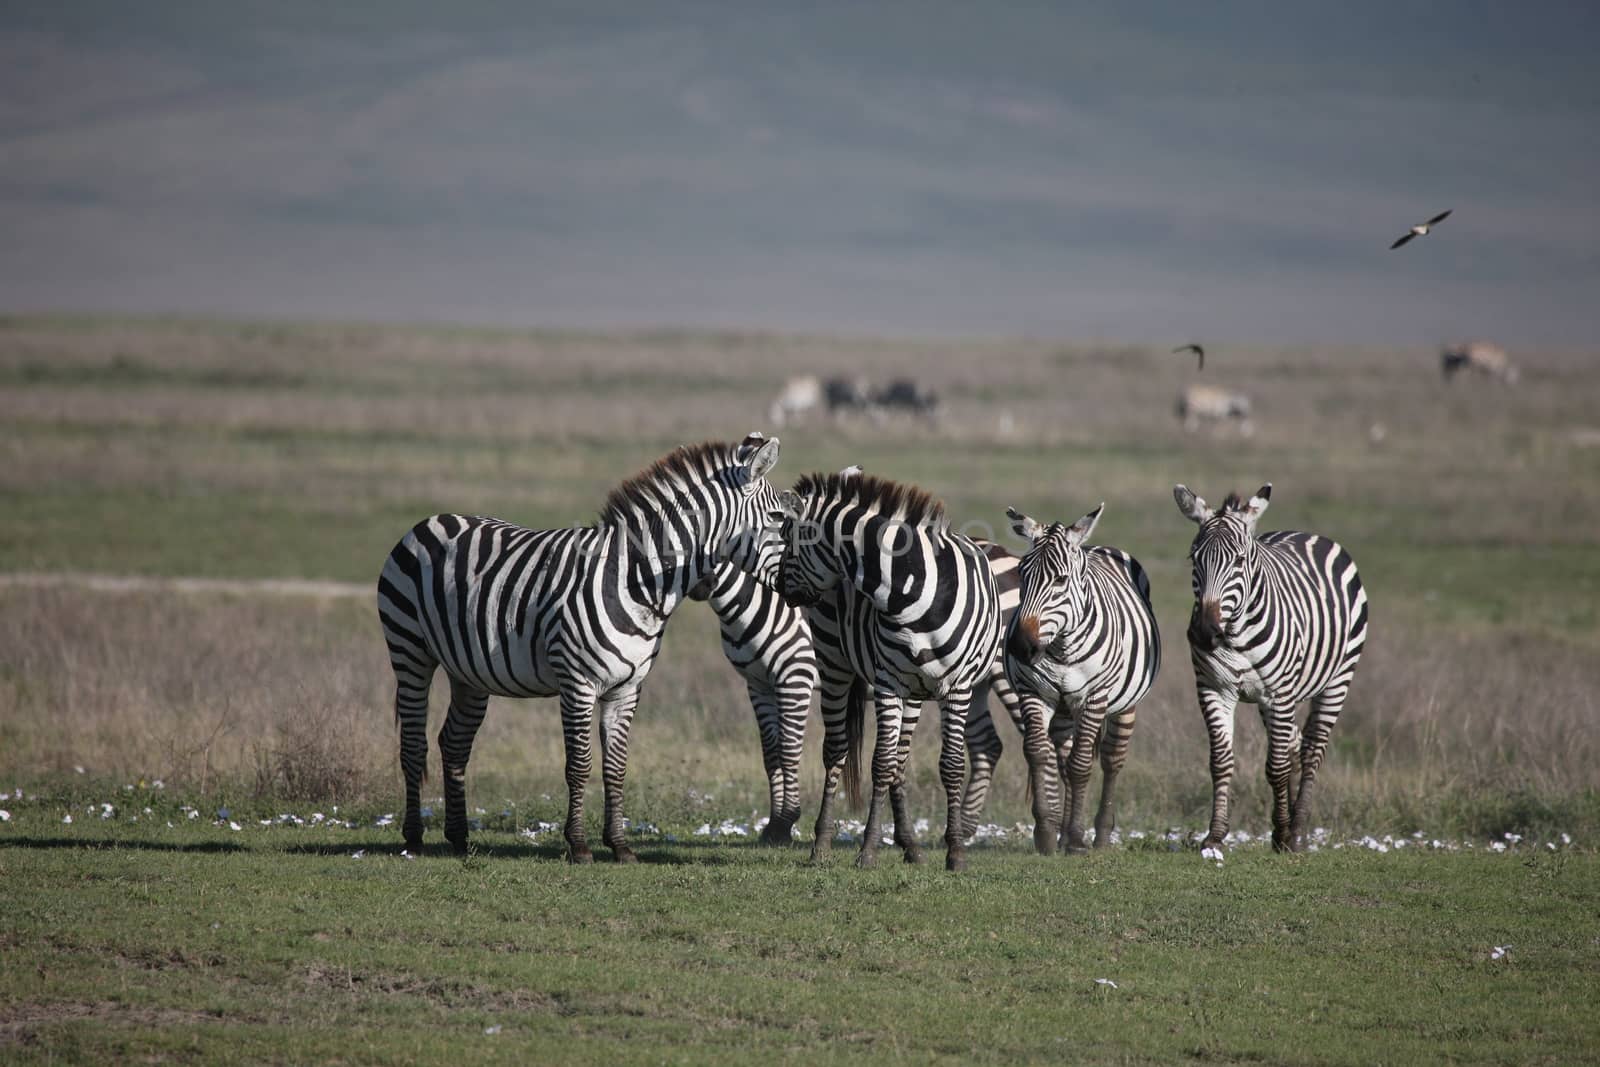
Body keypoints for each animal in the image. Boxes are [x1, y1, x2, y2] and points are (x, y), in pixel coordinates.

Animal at [380, 438, 793, 863]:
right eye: (778, 516)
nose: (799, 588)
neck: (635, 581)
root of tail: (431, 520)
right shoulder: (577, 682)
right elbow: (579, 765)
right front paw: (578, 844)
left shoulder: (626, 688)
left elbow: (616, 767)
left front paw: (621, 845)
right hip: (409, 649)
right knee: (413, 742)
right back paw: (413, 837)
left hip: (468, 672)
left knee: (454, 743)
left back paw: (460, 837)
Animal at [761, 473, 998, 870]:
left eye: (790, 543)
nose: (778, 588)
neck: (915, 592)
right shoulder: (888, 684)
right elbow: (880, 764)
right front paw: (868, 849)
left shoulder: (958, 687)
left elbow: (950, 765)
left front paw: (955, 852)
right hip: (835, 665)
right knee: (837, 751)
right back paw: (821, 844)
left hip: (916, 693)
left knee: (901, 760)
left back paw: (911, 845)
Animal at [1004, 505, 1158, 857]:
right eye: (1021, 574)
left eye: (1060, 579)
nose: (1021, 647)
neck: (1061, 647)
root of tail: (1097, 546)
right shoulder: (1032, 692)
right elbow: (1038, 753)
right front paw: (1047, 834)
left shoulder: (1094, 697)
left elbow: (1081, 764)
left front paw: (1076, 838)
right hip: (1063, 709)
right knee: (1063, 758)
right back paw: (1062, 836)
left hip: (1124, 704)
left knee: (1111, 760)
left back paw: (1100, 835)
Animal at [1171, 483, 1369, 851]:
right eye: (1194, 558)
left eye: (1239, 560)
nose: (1204, 633)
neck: (1235, 635)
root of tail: (1307, 534)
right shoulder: (1213, 688)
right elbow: (1221, 762)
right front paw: (1216, 835)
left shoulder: (1279, 693)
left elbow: (1276, 767)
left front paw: (1286, 833)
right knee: (1293, 744)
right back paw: (1285, 828)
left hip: (1337, 679)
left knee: (1311, 749)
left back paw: (1298, 831)